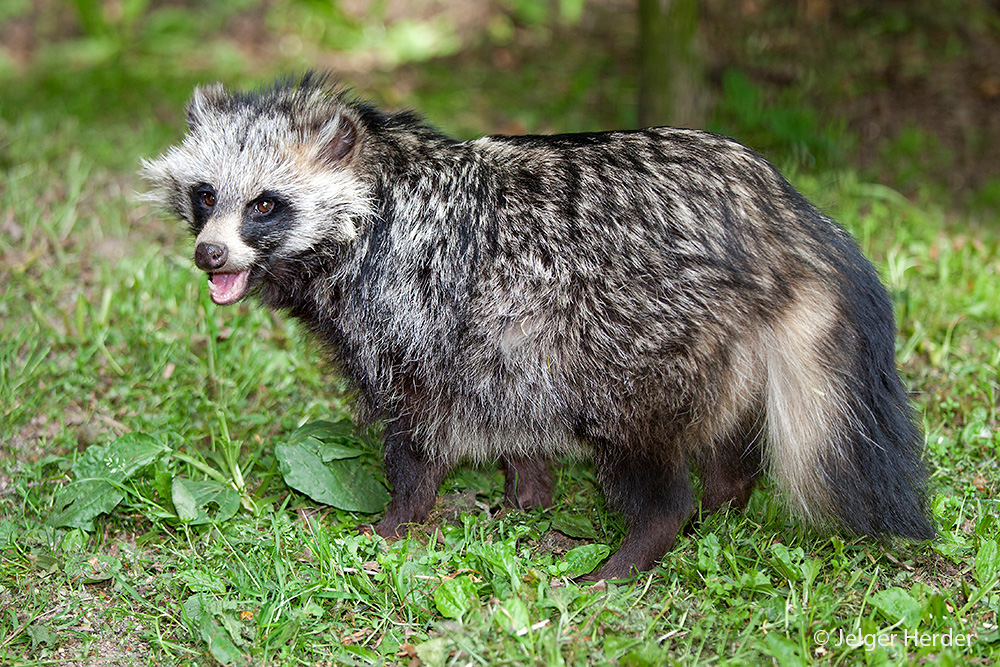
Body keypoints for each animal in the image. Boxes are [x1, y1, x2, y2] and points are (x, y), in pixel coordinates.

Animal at [143, 75, 936, 580]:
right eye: (206, 194)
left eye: (265, 205)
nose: (210, 253)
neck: (375, 188)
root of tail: (779, 214)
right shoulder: (501, 335)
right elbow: (513, 409)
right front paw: (524, 491)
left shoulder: (414, 308)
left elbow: (420, 426)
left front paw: (400, 516)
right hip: (715, 346)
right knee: (724, 436)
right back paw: (722, 500)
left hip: (642, 336)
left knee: (640, 449)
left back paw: (640, 545)